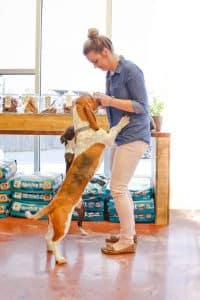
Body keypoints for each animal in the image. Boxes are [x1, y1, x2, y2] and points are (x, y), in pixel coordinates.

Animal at [25, 95, 130, 264]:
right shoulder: (108, 138)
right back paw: (59, 259)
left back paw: (51, 251)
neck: (84, 128)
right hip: (64, 224)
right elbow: (113, 129)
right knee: (55, 240)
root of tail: (53, 204)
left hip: (54, 224)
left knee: (47, 237)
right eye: (92, 98)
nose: (100, 98)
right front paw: (123, 121)